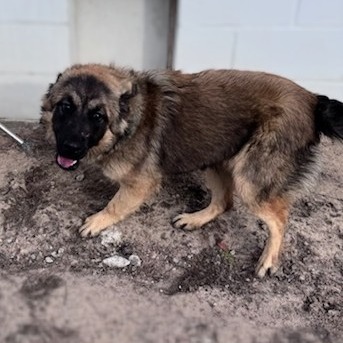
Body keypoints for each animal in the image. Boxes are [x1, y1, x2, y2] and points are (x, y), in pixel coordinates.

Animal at [41, 65, 343, 280]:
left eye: (97, 116)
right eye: (65, 107)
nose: (70, 147)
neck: (131, 119)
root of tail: (313, 100)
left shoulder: (140, 184)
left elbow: (116, 204)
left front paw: (98, 221)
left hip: (250, 181)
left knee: (279, 218)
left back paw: (269, 259)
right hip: (215, 158)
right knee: (224, 202)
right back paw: (196, 219)